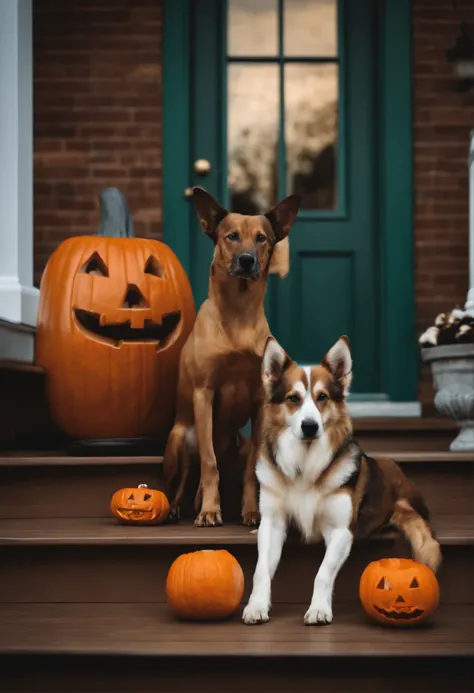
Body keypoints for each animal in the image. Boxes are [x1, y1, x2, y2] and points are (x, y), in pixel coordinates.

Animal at [161, 187, 298, 528]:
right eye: (231, 236)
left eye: (261, 238)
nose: (247, 260)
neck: (238, 315)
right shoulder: (203, 393)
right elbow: (209, 462)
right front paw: (210, 510)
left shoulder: (260, 403)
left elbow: (253, 471)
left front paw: (251, 511)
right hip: (177, 440)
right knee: (183, 480)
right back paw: (176, 508)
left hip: (241, 444)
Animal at [243, 336, 442, 628]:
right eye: (293, 399)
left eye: (322, 397)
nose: (310, 426)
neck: (305, 462)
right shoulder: (273, 524)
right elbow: (261, 570)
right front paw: (256, 605)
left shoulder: (340, 531)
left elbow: (323, 572)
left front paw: (319, 609)